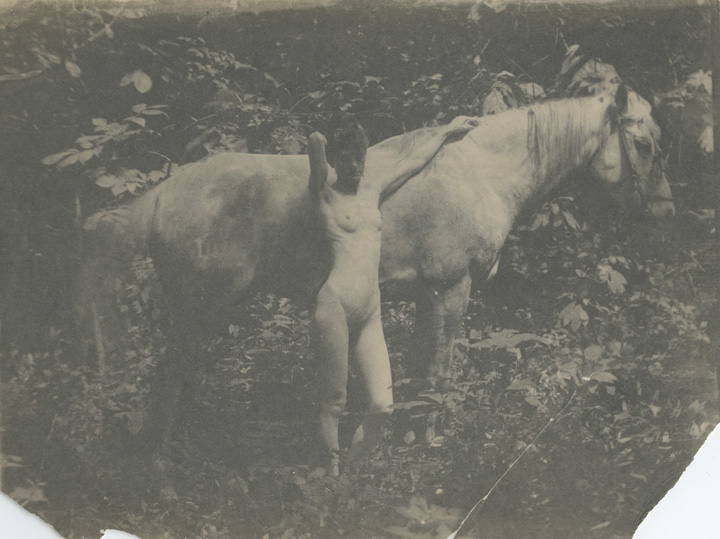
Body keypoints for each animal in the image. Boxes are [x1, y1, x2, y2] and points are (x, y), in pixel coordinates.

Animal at [91, 84, 674, 450]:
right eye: (643, 143)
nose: (666, 212)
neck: (480, 171)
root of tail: (165, 193)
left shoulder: (423, 296)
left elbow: (418, 369)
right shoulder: (451, 289)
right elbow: (439, 369)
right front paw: (432, 439)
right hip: (200, 310)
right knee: (169, 378)